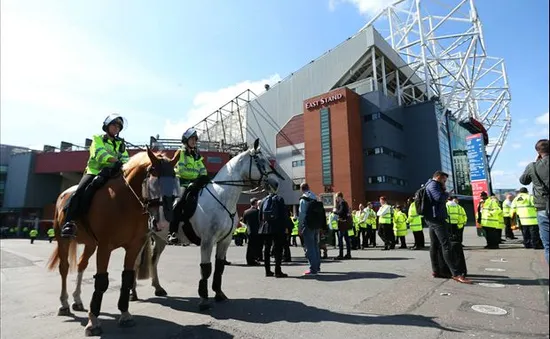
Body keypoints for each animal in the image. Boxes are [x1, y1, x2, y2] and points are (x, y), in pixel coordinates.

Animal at [47, 148, 181, 338]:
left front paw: (125, 314)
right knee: (64, 268)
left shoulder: (133, 246)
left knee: (81, 265)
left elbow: (127, 277)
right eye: (154, 181)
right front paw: (93, 322)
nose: (162, 222)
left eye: (175, 182)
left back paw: (77, 300)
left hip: (90, 244)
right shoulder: (105, 246)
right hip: (62, 239)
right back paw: (64, 304)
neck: (125, 201)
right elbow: (101, 281)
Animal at [132, 139, 282, 310]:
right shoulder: (207, 241)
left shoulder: (225, 241)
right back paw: (133, 293)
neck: (221, 198)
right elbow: (206, 269)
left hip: (160, 239)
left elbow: (219, 267)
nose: (276, 183)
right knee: (135, 263)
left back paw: (158, 288)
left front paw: (219, 293)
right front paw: (203, 299)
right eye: (260, 161)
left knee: (153, 261)